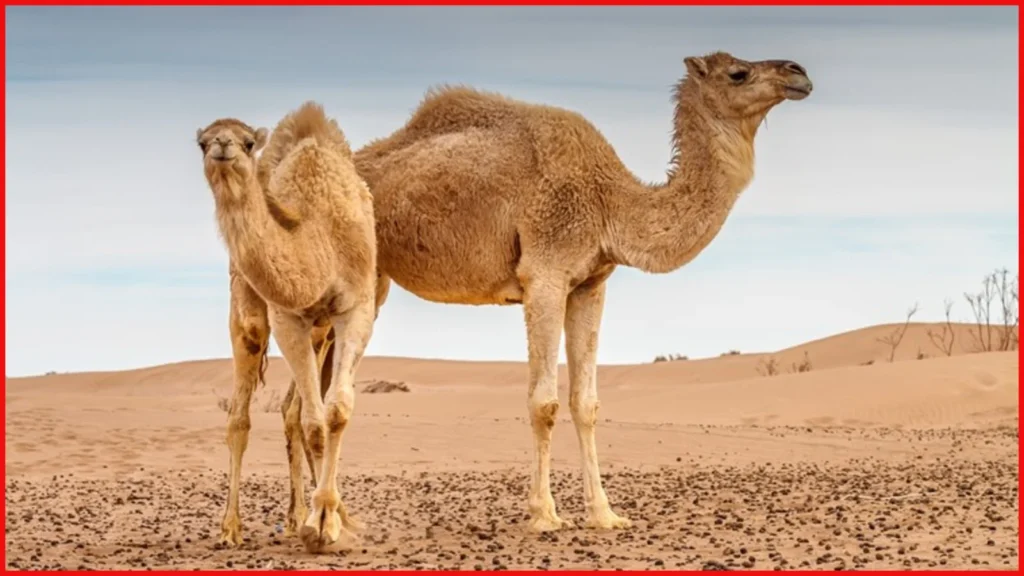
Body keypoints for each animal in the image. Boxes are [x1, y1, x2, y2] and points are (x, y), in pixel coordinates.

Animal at [196, 101, 378, 552]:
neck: (320, 239)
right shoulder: (287, 316)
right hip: (248, 302)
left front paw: (328, 518)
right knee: (243, 414)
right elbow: (314, 421)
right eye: (202, 142)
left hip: (322, 331)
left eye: (247, 141)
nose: (222, 145)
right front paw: (321, 523)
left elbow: (336, 411)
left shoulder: (356, 308)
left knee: (292, 410)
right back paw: (235, 527)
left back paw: (304, 515)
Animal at [342, 51, 814, 532]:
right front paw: (543, 514)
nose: (798, 73)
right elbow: (544, 403)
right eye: (738, 73)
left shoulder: (590, 285)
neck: (610, 203)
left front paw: (604, 513)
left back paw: (338, 520)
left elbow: (586, 403)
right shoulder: (545, 274)